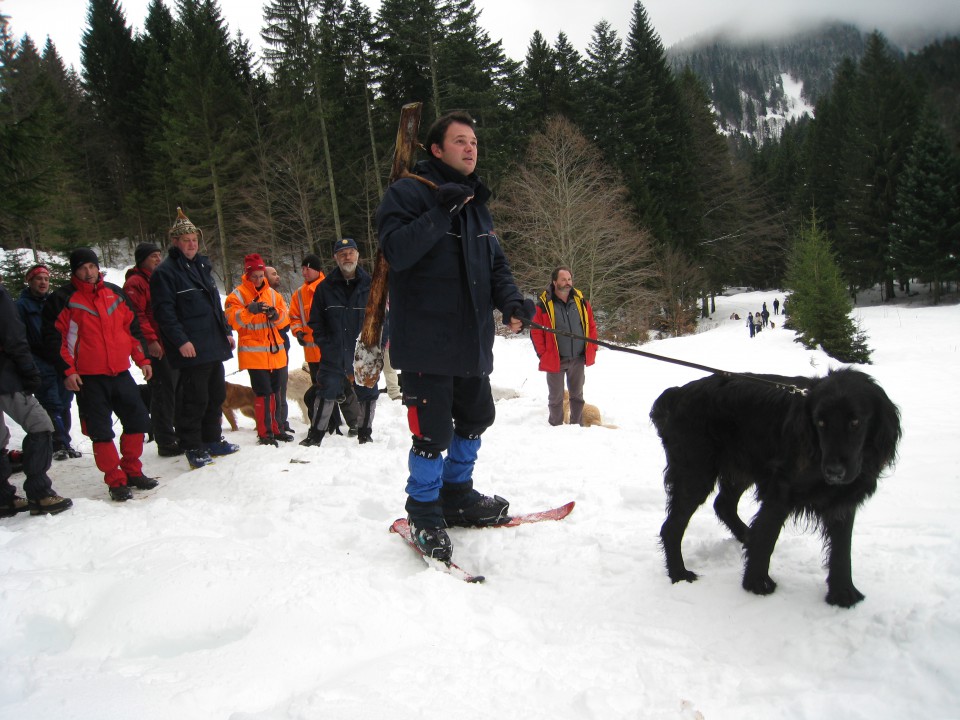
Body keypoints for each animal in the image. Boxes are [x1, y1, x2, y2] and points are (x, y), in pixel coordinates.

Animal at [652, 366, 900, 608]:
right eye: (820, 422)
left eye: (855, 422)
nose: (834, 471)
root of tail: (677, 393)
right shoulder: (781, 490)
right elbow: (767, 536)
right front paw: (757, 583)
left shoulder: (843, 500)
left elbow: (842, 548)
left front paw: (843, 592)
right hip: (695, 471)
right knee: (672, 527)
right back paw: (679, 574)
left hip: (740, 467)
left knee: (723, 504)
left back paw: (745, 536)